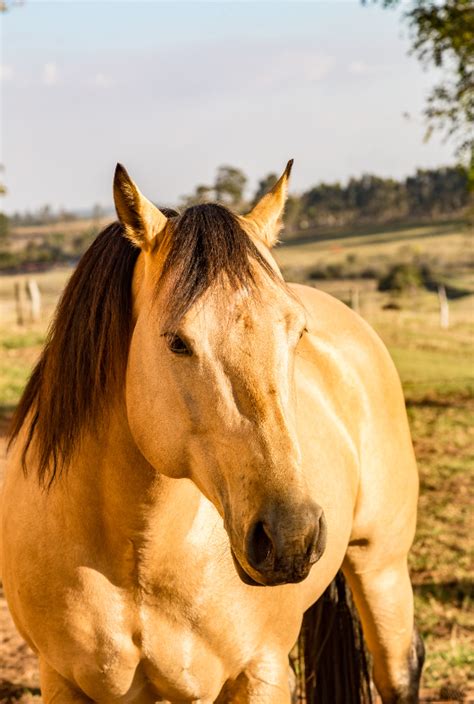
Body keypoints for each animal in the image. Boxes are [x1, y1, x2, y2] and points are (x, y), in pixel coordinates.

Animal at [1, 162, 424, 700]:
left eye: (297, 333)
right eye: (178, 342)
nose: (291, 535)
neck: (137, 559)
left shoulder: (262, 671)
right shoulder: (61, 678)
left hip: (381, 565)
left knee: (399, 667)